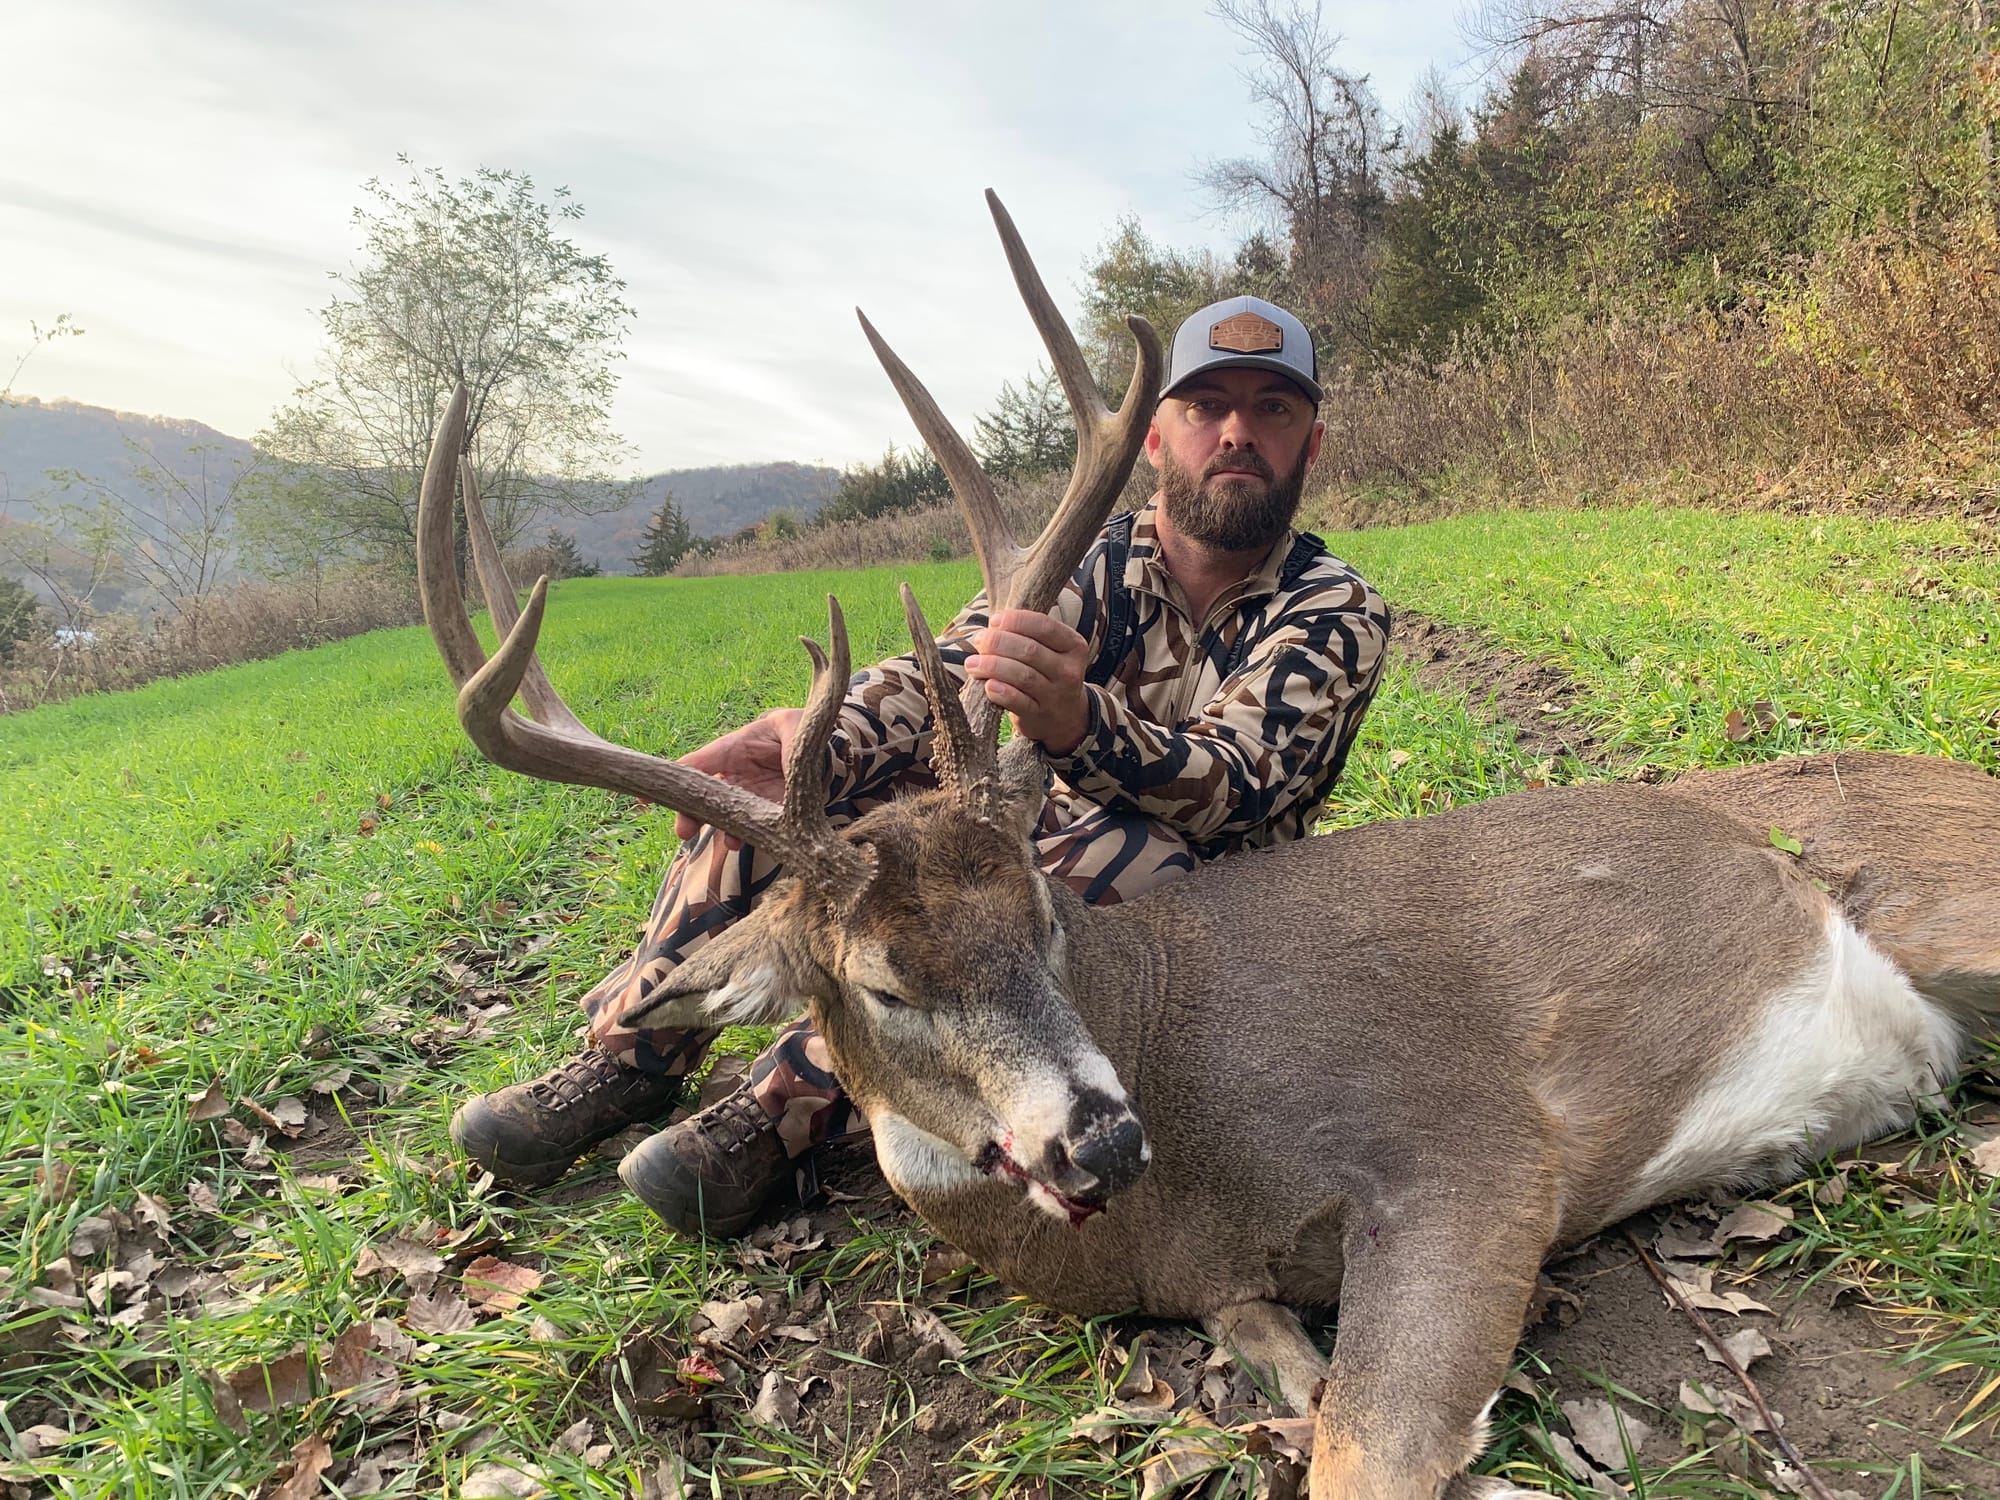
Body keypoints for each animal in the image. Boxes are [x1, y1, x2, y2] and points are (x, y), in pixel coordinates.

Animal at [415, 193, 2000, 1499]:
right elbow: (1300, 1398)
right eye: (876, 981)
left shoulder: (1464, 1135)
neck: (1179, 1175)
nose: (1099, 1135)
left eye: (1044, 915)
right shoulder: (1230, 1287)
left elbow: (1367, 1455)